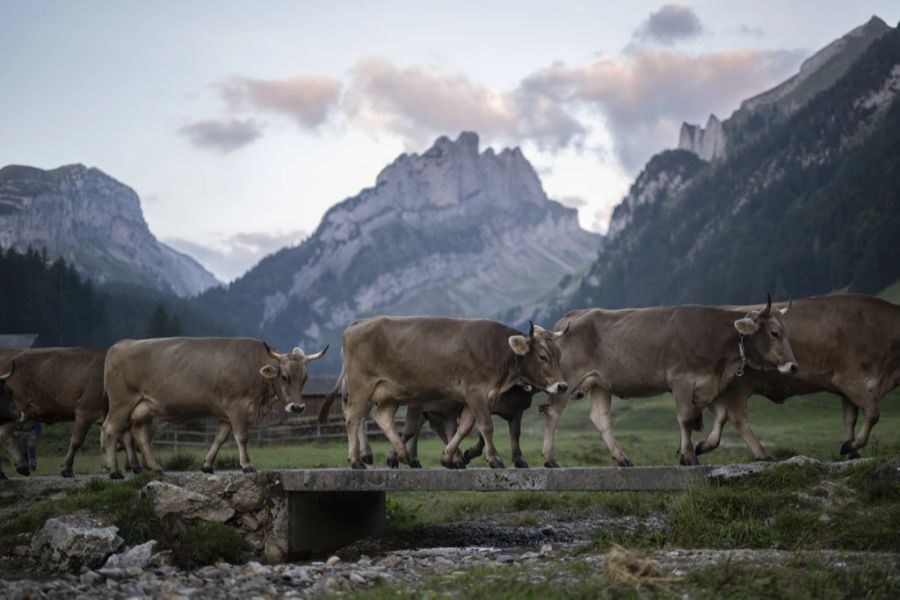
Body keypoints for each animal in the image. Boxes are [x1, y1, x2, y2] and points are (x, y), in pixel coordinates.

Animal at [100, 338, 326, 478]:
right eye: (285, 377)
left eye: (304, 378)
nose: (297, 407)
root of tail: (121, 344)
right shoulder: (236, 407)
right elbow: (241, 437)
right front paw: (247, 465)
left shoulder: (226, 414)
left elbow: (220, 438)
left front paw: (207, 465)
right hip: (121, 403)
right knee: (110, 429)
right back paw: (114, 471)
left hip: (145, 407)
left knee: (140, 434)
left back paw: (156, 468)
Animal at [320, 316, 568, 472]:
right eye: (542, 356)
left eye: (558, 355)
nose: (562, 386)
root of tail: (357, 324)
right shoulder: (476, 392)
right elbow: (486, 427)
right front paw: (494, 459)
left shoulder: (472, 399)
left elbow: (464, 427)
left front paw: (449, 456)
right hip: (362, 385)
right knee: (353, 418)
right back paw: (357, 460)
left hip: (389, 393)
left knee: (381, 418)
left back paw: (400, 453)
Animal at [536, 296, 800, 468]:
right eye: (775, 333)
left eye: (787, 332)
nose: (793, 366)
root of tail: (571, 316)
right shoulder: (682, 380)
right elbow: (685, 418)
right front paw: (689, 456)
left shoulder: (706, 384)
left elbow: (722, 415)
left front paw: (702, 446)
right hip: (567, 380)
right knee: (552, 413)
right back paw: (550, 459)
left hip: (601, 384)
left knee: (601, 419)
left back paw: (622, 458)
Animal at [696, 294, 900, 460]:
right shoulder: (849, 379)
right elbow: (873, 413)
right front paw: (851, 446)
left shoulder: (849, 388)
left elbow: (850, 418)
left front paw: (852, 450)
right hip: (736, 386)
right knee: (737, 417)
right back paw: (762, 454)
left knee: (723, 415)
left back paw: (704, 445)